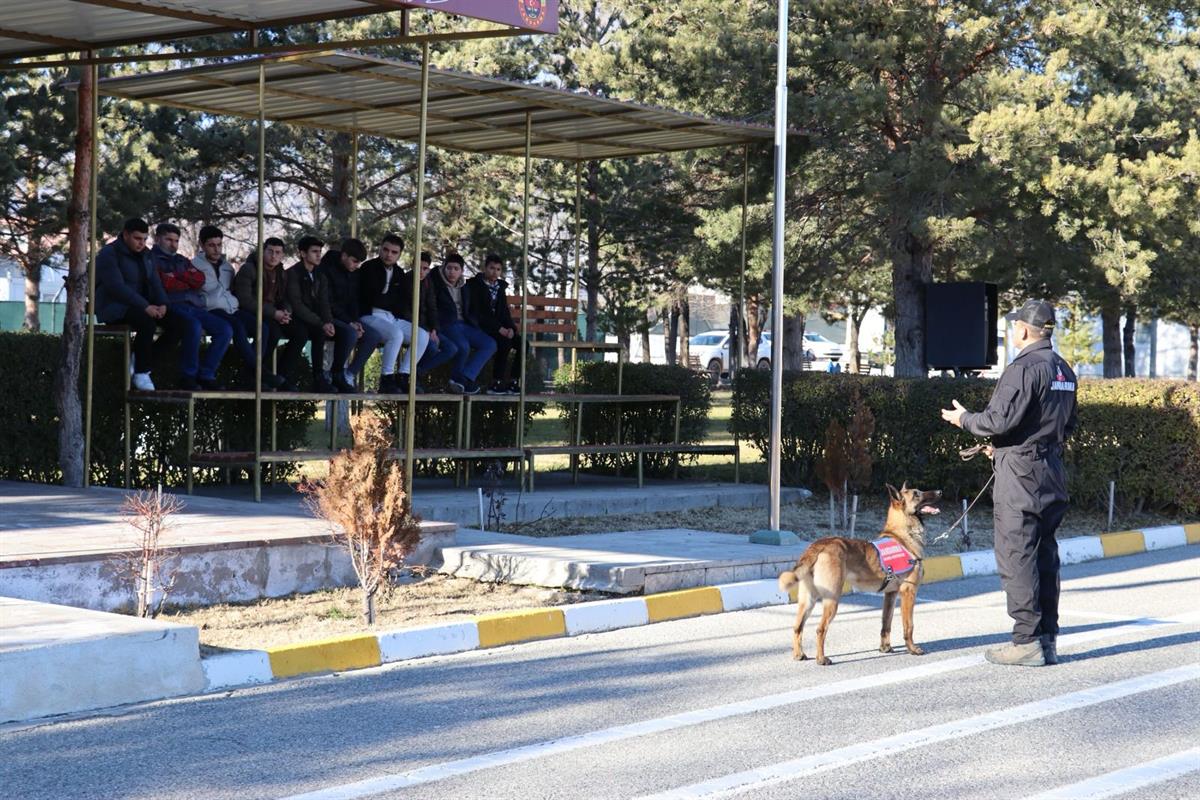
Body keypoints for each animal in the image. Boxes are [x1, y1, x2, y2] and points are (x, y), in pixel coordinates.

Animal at [777, 484, 945, 666]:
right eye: (916, 494)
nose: (940, 492)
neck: (902, 535)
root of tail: (819, 545)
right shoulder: (909, 592)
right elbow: (909, 626)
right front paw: (912, 649)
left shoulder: (890, 595)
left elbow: (886, 623)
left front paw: (885, 648)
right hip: (832, 600)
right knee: (820, 629)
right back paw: (821, 659)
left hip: (808, 600)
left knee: (797, 626)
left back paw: (798, 654)